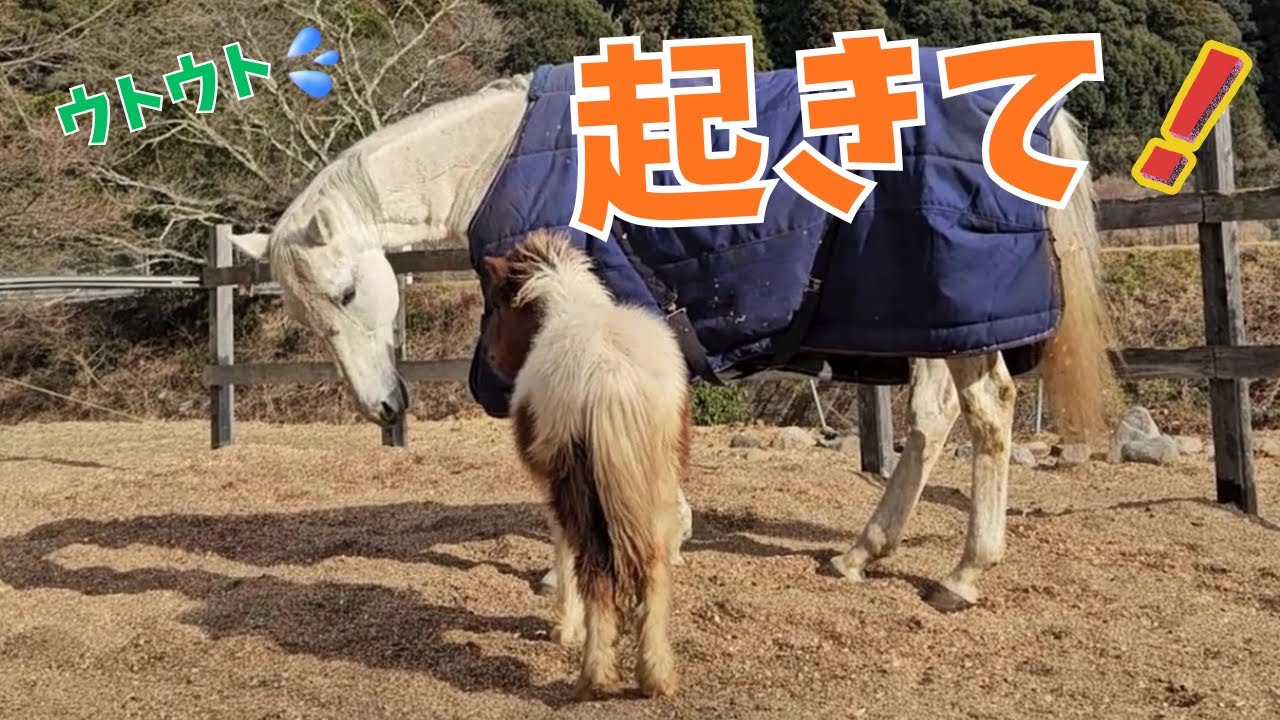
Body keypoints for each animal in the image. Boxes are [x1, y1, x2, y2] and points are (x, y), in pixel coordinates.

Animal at [230, 47, 1119, 614]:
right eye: (309, 319)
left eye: (348, 291)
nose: (383, 407)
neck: (496, 166)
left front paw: (579, 568)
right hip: (928, 315)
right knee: (933, 424)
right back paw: (862, 553)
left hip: (959, 315)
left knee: (990, 415)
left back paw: (963, 575)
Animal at [482, 228, 690, 698]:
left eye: (499, 305)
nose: (492, 359)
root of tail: (609, 374)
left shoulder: (552, 489)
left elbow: (562, 551)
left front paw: (565, 629)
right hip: (657, 481)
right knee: (654, 568)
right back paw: (656, 676)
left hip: (578, 489)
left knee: (593, 567)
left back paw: (595, 673)